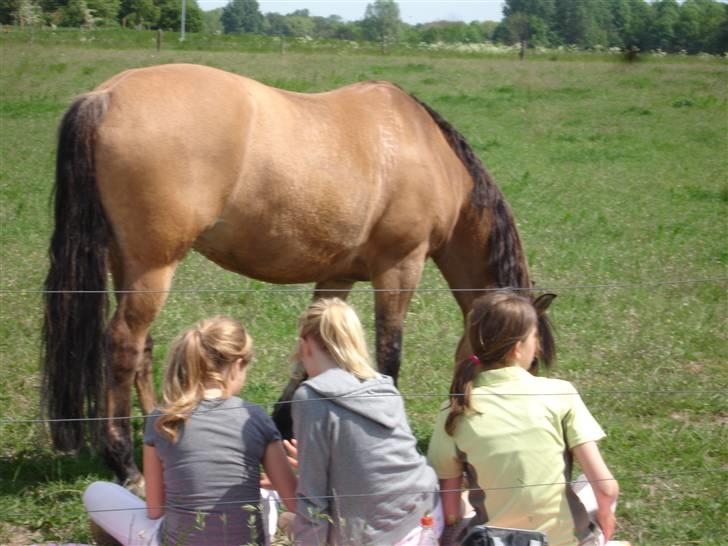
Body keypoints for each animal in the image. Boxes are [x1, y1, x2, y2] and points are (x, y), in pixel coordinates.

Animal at [42, 62, 556, 484]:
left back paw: (161, 428)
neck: (429, 152)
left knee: (141, 348)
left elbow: (311, 349)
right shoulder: (400, 266)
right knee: (123, 344)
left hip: (125, 262)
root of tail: (106, 95)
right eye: (526, 362)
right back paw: (124, 463)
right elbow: (389, 356)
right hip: (154, 267)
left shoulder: (338, 276)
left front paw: (285, 420)